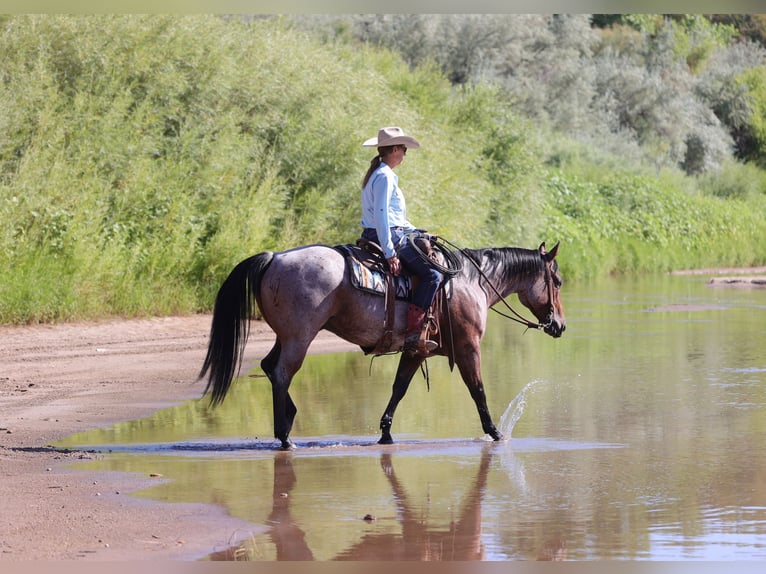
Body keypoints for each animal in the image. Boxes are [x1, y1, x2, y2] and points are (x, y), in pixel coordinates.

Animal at [199, 240, 566, 449]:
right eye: (558, 281)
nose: (560, 325)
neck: (470, 283)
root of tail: (275, 258)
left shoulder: (416, 349)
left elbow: (398, 388)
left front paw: (386, 433)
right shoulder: (467, 348)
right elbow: (478, 390)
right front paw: (495, 433)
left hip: (285, 336)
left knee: (269, 368)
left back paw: (288, 420)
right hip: (299, 338)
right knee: (281, 373)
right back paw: (285, 436)